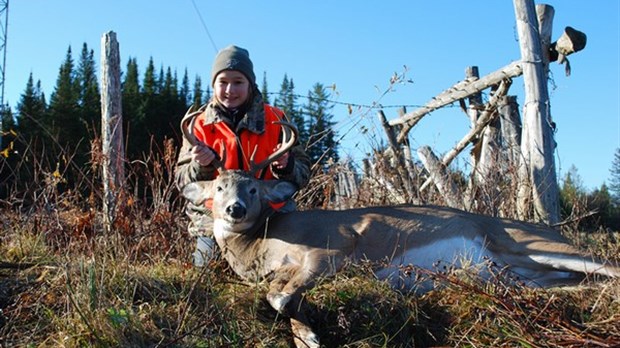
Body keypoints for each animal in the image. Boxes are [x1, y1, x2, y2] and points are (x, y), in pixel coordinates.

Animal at [179, 117, 620, 348]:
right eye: (219, 188)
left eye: (253, 189)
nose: (235, 209)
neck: (260, 245)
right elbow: (281, 297)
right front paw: (306, 334)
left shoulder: (334, 245)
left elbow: (282, 297)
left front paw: (311, 335)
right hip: (519, 272)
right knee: (569, 282)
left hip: (524, 243)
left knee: (606, 266)